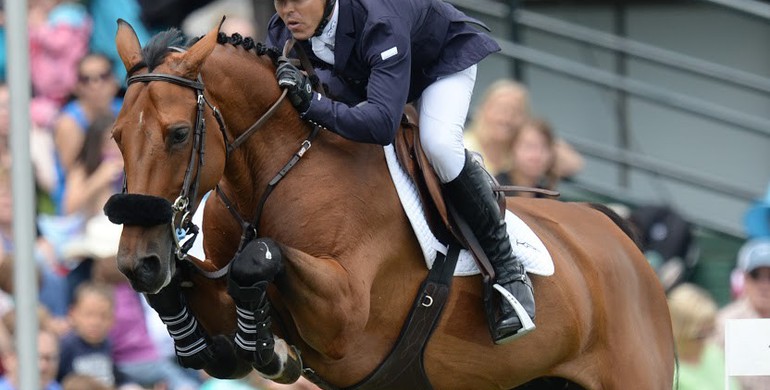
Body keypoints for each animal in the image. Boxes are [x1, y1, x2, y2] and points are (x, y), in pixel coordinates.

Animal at [106, 19, 672, 390]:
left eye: (179, 134)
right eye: (116, 137)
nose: (138, 263)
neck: (275, 173)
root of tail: (616, 233)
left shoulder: (346, 314)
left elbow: (260, 257)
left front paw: (268, 351)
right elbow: (199, 290)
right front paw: (217, 342)